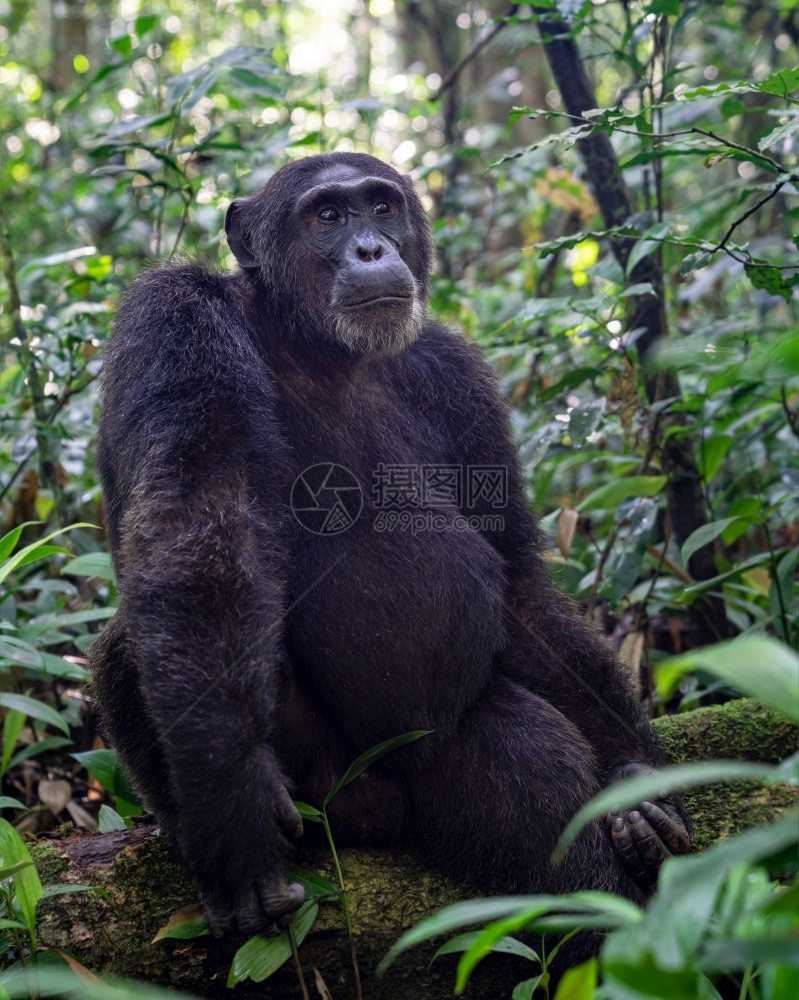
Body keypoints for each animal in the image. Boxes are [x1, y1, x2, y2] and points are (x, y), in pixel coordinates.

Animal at [89, 148, 692, 936]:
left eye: (381, 207)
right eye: (326, 215)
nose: (371, 249)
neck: (314, 346)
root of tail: (376, 816)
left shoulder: (458, 377)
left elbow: (518, 579)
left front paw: (638, 780)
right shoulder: (175, 320)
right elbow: (201, 530)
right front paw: (232, 811)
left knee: (539, 781)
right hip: (319, 792)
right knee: (148, 629)